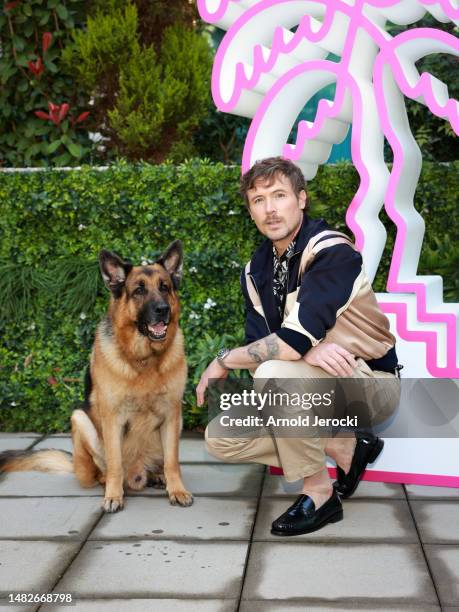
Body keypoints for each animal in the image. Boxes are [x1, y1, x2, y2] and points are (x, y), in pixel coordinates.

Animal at [0, 239, 193, 512]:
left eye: (164, 287)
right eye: (139, 291)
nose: (162, 309)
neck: (143, 359)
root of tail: (137, 473)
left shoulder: (172, 414)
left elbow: (172, 462)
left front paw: (177, 490)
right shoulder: (112, 418)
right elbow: (114, 463)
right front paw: (113, 496)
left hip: (176, 425)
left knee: (158, 464)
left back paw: (157, 476)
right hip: (79, 420)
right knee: (102, 472)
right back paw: (112, 484)